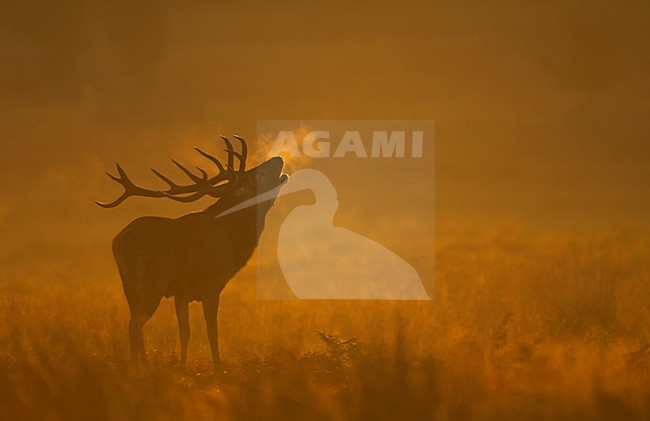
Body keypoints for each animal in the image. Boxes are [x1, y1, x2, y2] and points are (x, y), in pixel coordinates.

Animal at [96, 135, 288, 371]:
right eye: (257, 175)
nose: (279, 158)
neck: (232, 237)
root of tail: (122, 240)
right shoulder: (212, 285)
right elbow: (212, 331)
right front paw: (218, 368)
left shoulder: (182, 292)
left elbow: (185, 332)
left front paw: (183, 366)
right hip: (153, 283)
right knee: (134, 324)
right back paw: (140, 368)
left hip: (129, 286)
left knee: (135, 322)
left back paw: (142, 365)